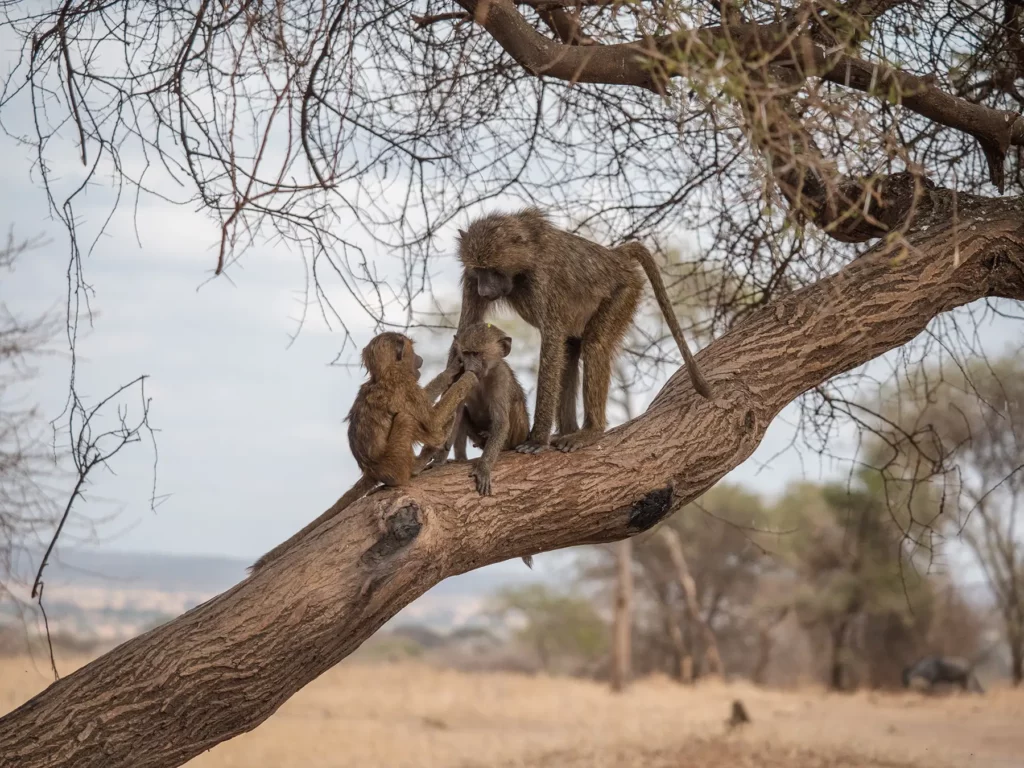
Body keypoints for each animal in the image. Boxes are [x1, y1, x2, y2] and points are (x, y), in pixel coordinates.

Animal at [249, 332, 478, 574]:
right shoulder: (406, 386)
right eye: (413, 353)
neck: (384, 375)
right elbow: (432, 423)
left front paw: (450, 371)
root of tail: (371, 471)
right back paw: (421, 460)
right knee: (407, 420)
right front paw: (468, 379)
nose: (421, 359)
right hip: (395, 462)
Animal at [454, 207, 711, 454]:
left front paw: (537, 439)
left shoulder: (543, 279)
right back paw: (568, 431)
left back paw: (590, 431)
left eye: (493, 270)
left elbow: (551, 339)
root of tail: (615, 256)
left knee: (594, 345)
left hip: (626, 289)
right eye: (479, 270)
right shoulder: (470, 279)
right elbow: (466, 329)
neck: (525, 259)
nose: (485, 291)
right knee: (569, 353)